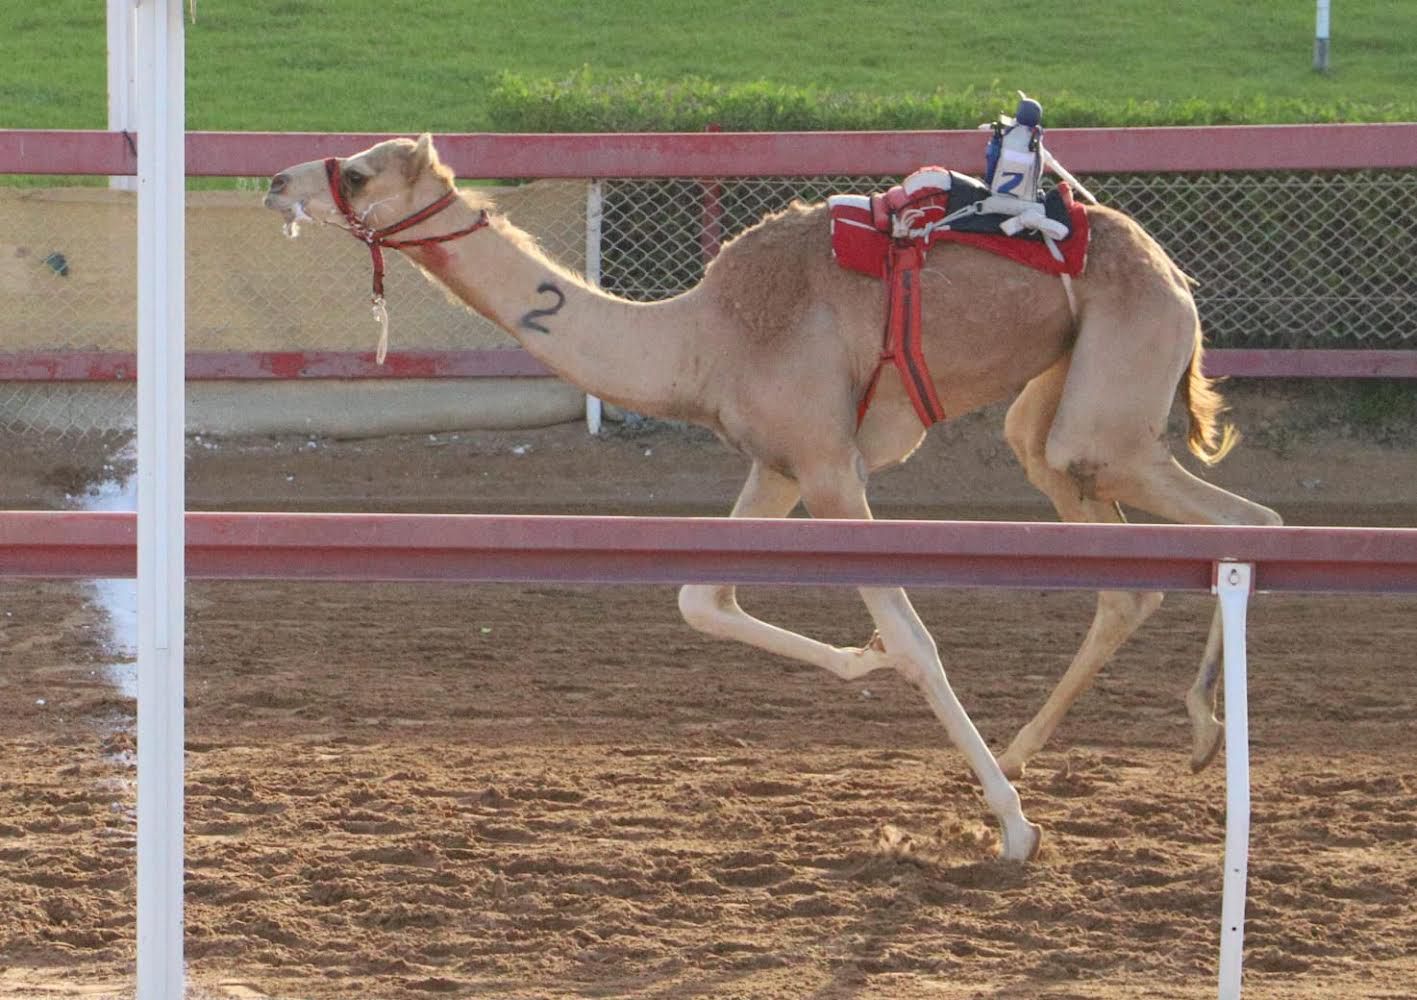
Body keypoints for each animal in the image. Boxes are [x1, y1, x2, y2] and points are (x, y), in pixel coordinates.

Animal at [266, 135, 1286, 861]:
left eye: (355, 172)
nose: (275, 181)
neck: (698, 340)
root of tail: (1172, 272)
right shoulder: (778, 466)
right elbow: (701, 598)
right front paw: (865, 664)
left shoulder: (831, 466)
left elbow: (918, 641)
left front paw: (1013, 828)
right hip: (1055, 406)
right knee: (1121, 564)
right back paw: (1065, 747)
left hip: (1119, 375)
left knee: (1249, 521)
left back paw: (1172, 735)